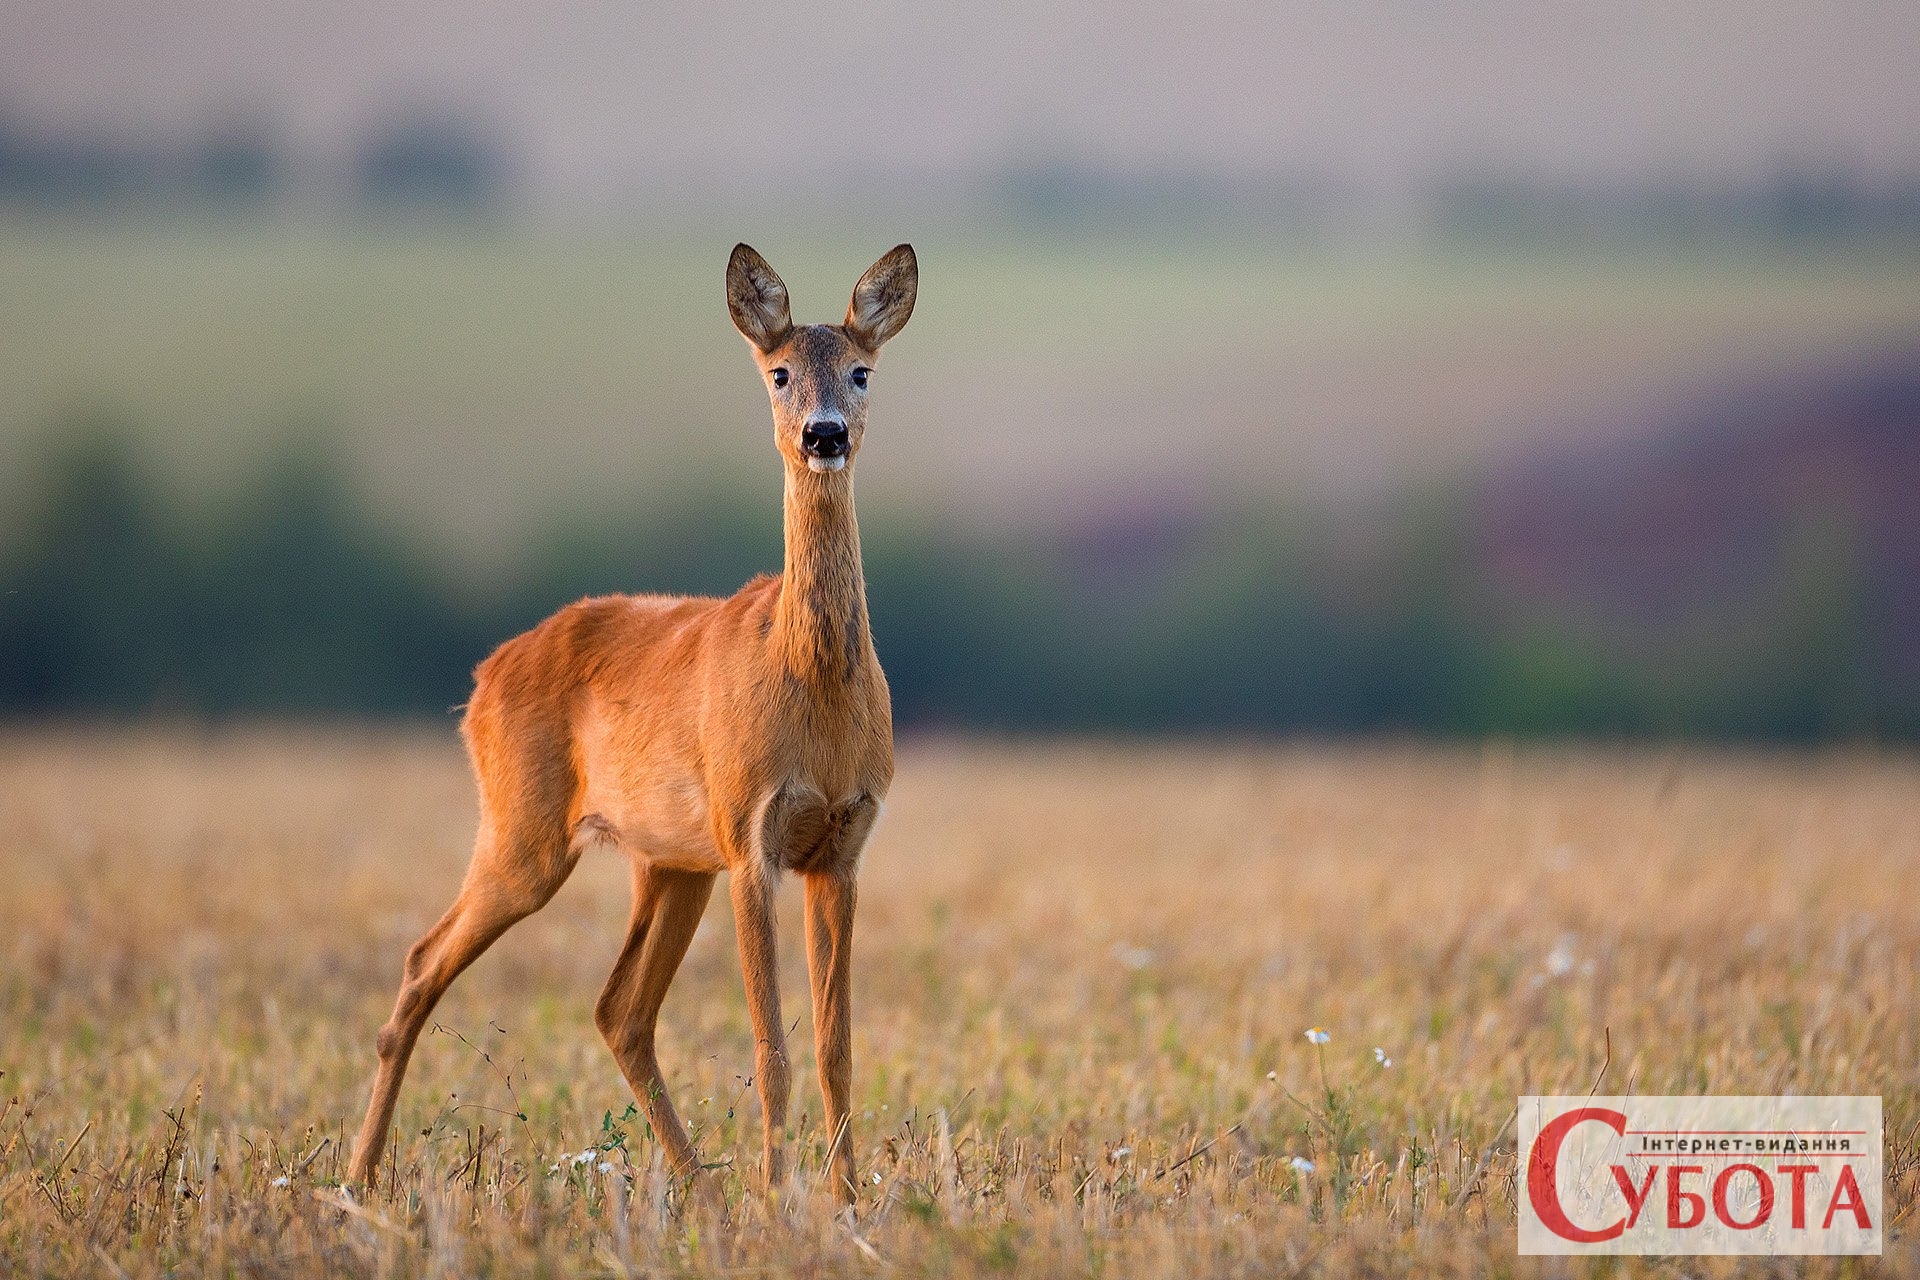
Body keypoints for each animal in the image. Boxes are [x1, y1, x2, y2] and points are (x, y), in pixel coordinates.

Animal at [351, 242, 921, 1212]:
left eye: (861, 371)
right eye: (777, 373)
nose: (825, 435)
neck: (813, 687)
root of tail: (483, 678)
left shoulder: (842, 846)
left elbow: (836, 1047)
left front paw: (843, 1202)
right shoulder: (751, 838)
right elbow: (771, 1050)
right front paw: (779, 1199)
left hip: (669, 862)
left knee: (619, 1009)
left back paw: (701, 1189)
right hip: (527, 831)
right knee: (425, 961)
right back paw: (356, 1179)